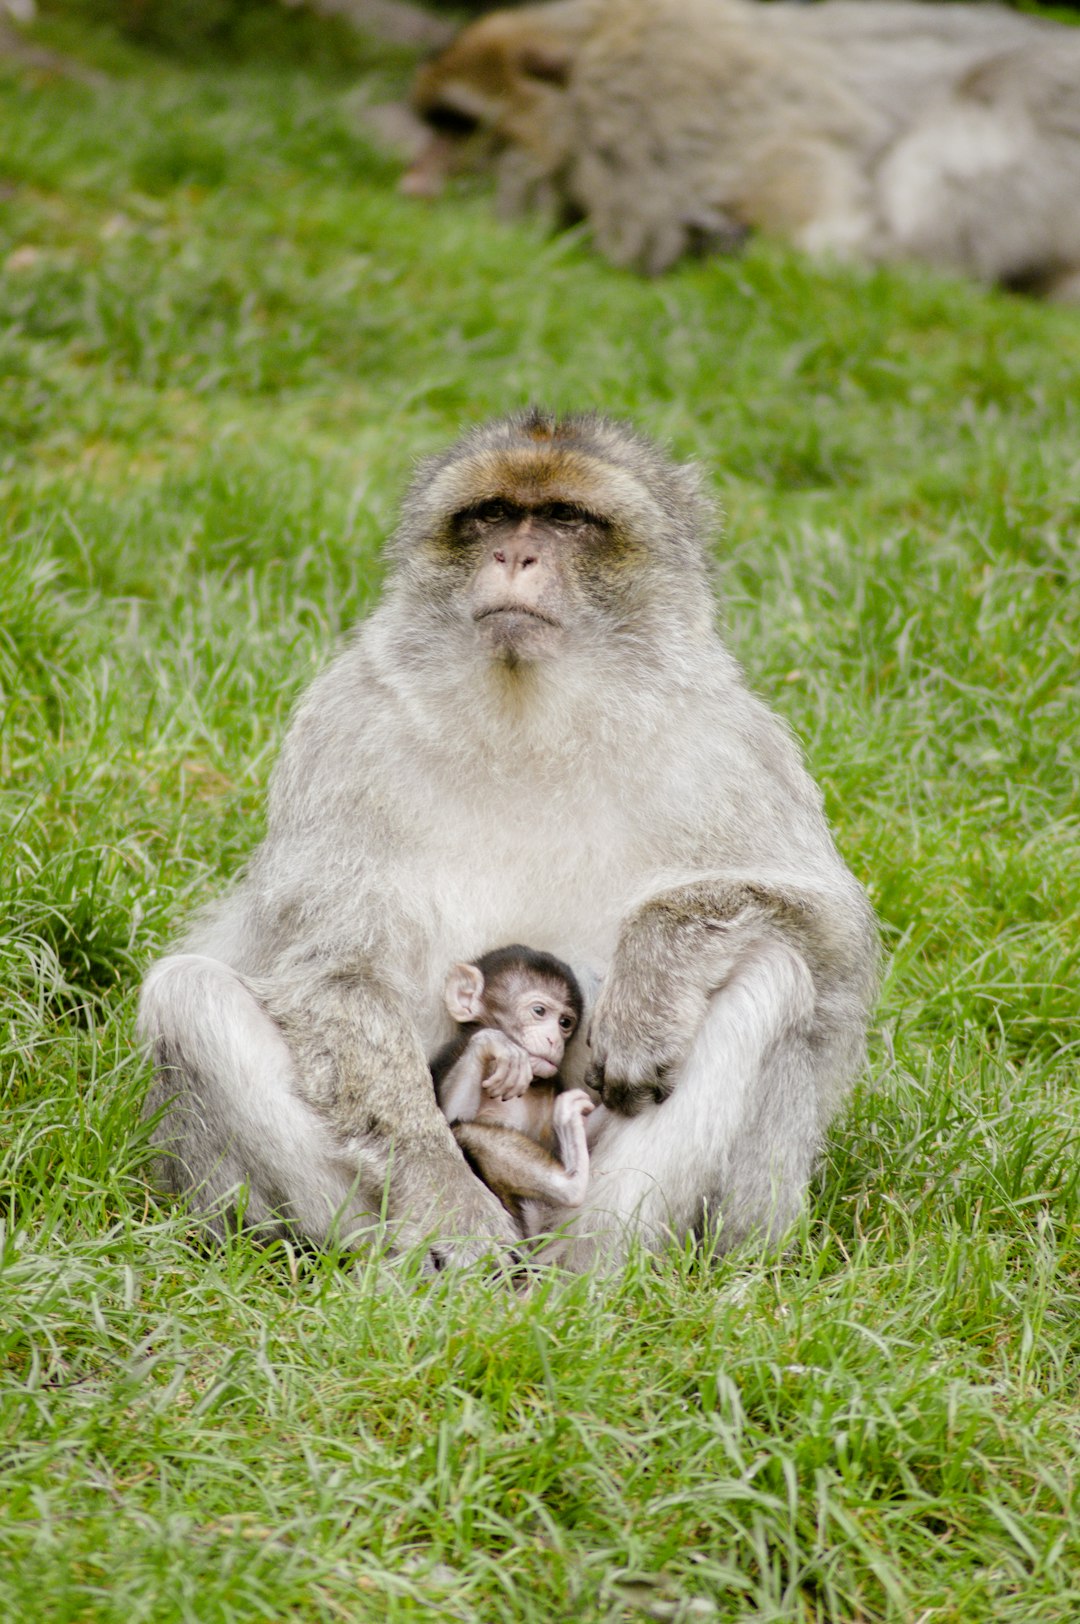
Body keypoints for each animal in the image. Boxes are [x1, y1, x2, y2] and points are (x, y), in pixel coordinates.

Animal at [428, 948, 597, 1234]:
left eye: (565, 1022)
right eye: (539, 1011)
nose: (554, 1040)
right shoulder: (451, 1055)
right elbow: (448, 1119)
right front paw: (495, 1044)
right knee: (464, 1132)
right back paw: (572, 1182)